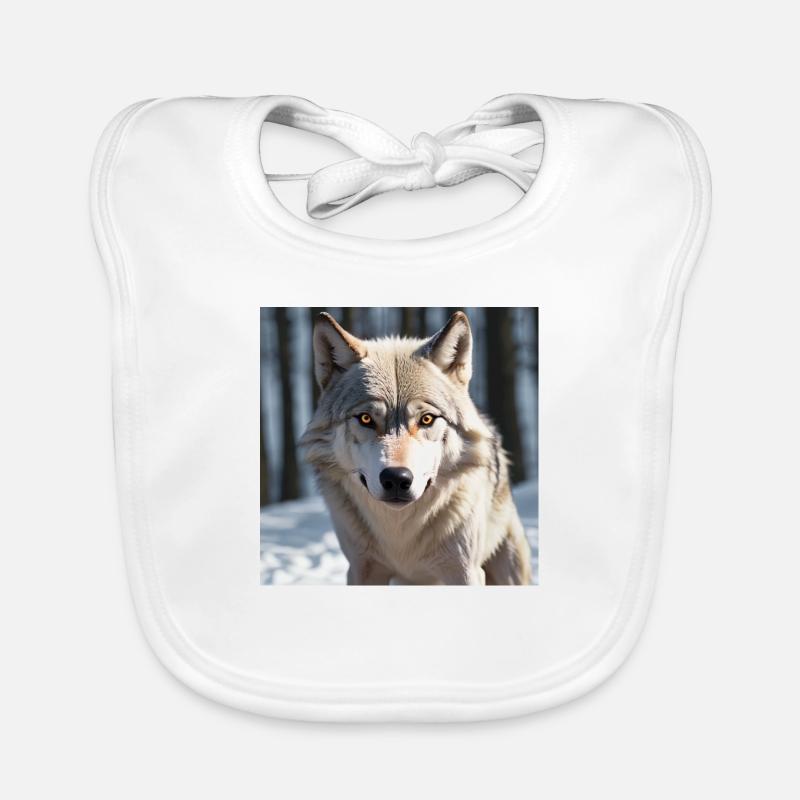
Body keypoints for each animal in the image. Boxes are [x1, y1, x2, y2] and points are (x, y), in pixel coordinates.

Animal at [300, 311, 531, 586]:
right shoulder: (362, 569)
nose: (396, 479)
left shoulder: (465, 571)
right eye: (366, 419)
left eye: (427, 419)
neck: (400, 534)